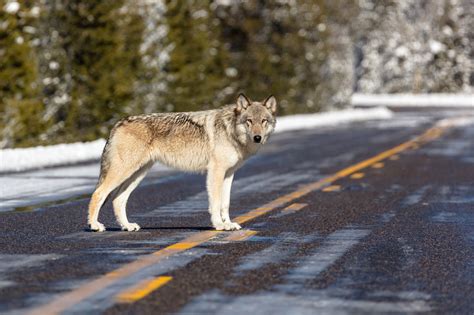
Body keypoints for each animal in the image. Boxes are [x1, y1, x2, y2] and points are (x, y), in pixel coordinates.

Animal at [88, 94, 278, 232]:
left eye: (263, 121)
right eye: (249, 121)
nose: (257, 137)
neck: (230, 131)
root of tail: (118, 123)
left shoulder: (229, 173)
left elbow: (225, 203)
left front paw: (229, 224)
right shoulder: (215, 172)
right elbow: (216, 203)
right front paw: (219, 225)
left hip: (137, 174)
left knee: (118, 199)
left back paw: (127, 226)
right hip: (124, 172)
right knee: (99, 193)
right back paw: (95, 225)